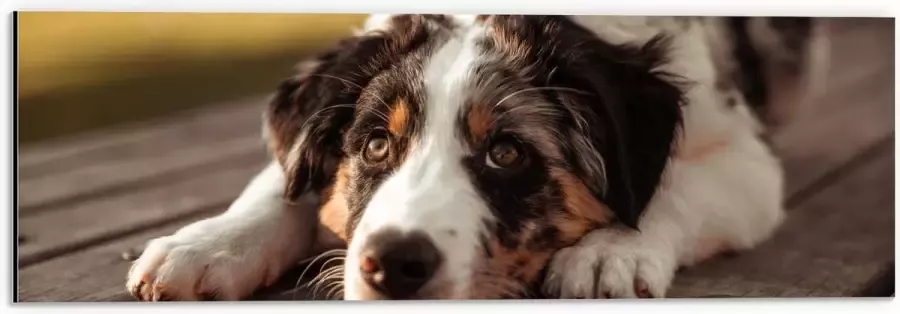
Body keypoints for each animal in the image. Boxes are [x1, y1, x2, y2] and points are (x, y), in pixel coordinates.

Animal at [123, 14, 828, 300]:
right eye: (375, 145)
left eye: (506, 152)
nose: (393, 266)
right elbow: (282, 182)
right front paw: (206, 247)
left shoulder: (747, 160)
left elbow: (673, 187)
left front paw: (610, 252)